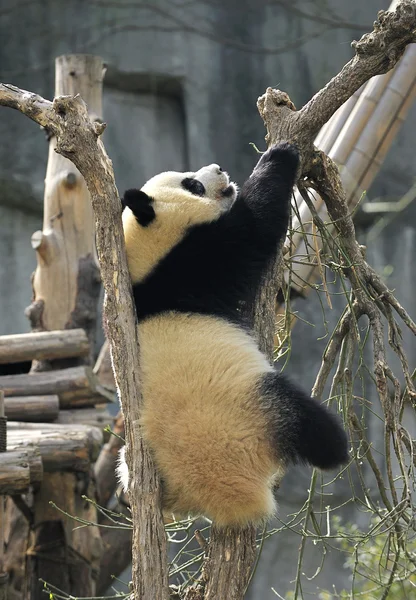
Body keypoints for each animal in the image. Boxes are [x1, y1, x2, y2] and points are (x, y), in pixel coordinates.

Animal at [117, 143, 348, 528]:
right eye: (192, 184)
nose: (219, 167)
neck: (146, 268)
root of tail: (225, 497)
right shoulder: (198, 259)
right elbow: (256, 227)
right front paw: (280, 155)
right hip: (254, 408)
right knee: (315, 430)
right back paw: (340, 448)